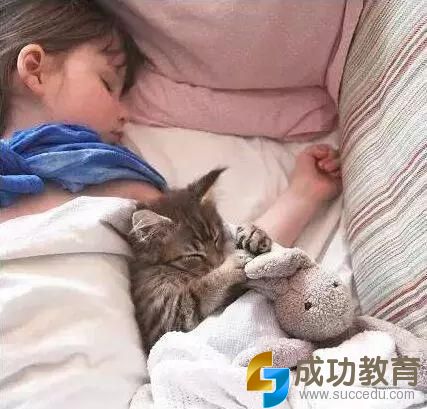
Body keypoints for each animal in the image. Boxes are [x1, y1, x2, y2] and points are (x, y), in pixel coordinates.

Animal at [127, 168, 272, 353]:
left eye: (216, 238)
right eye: (194, 255)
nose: (218, 262)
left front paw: (252, 232)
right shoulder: (162, 320)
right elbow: (198, 291)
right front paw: (231, 266)